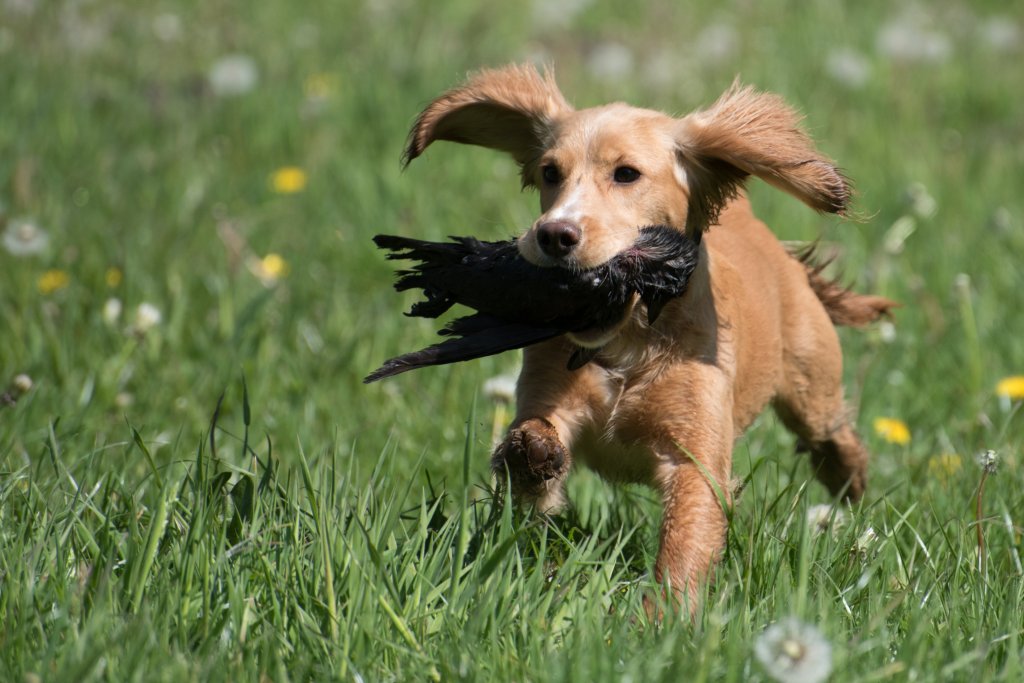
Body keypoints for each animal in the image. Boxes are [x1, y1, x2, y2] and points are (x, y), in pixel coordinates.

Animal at [401, 64, 894, 611]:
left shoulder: (696, 461)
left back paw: (851, 488)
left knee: (834, 435)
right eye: (550, 172)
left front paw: (664, 618)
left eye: (626, 174)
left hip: (811, 383)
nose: (552, 235)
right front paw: (533, 451)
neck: (628, 341)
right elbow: (534, 458)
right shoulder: (550, 394)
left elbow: (686, 540)